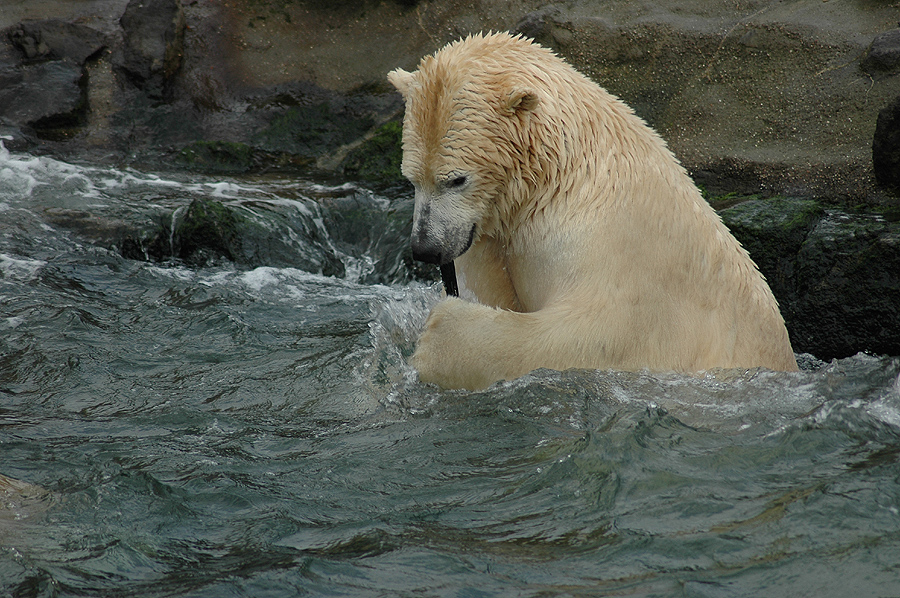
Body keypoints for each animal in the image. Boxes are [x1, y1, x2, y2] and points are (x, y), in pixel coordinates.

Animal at [386, 30, 796, 392]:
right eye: (411, 178)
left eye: (456, 179)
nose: (425, 248)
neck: (562, 175)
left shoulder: (617, 250)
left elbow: (591, 336)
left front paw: (438, 336)